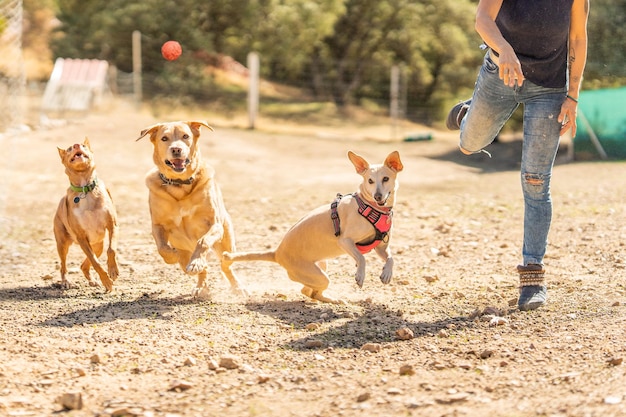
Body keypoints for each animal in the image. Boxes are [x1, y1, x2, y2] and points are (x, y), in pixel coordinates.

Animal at [53, 138, 119, 290]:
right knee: (63, 266)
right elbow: (95, 262)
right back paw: (65, 281)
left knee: (84, 265)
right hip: (63, 244)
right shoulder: (82, 238)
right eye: (69, 148)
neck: (85, 189)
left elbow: (111, 249)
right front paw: (106, 280)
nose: (76, 145)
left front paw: (112, 270)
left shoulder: (112, 226)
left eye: (83, 146)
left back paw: (93, 280)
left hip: (97, 245)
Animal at [135, 120, 245, 300]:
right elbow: (162, 248)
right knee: (201, 269)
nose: (176, 149)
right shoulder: (157, 225)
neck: (180, 184)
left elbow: (203, 241)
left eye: (185, 136)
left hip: (226, 244)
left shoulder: (214, 224)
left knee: (226, 265)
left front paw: (196, 262)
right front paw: (172, 256)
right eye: (164, 138)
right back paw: (201, 286)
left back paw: (237, 287)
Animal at [222, 150, 402, 302]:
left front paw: (386, 274)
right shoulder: (345, 241)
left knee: (308, 292)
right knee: (311, 291)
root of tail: (277, 253)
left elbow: (391, 258)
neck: (370, 207)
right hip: (319, 276)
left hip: (321, 267)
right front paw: (360, 275)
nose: (378, 196)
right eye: (370, 181)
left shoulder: (381, 247)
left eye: (385, 179)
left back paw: (332, 299)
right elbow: (361, 258)